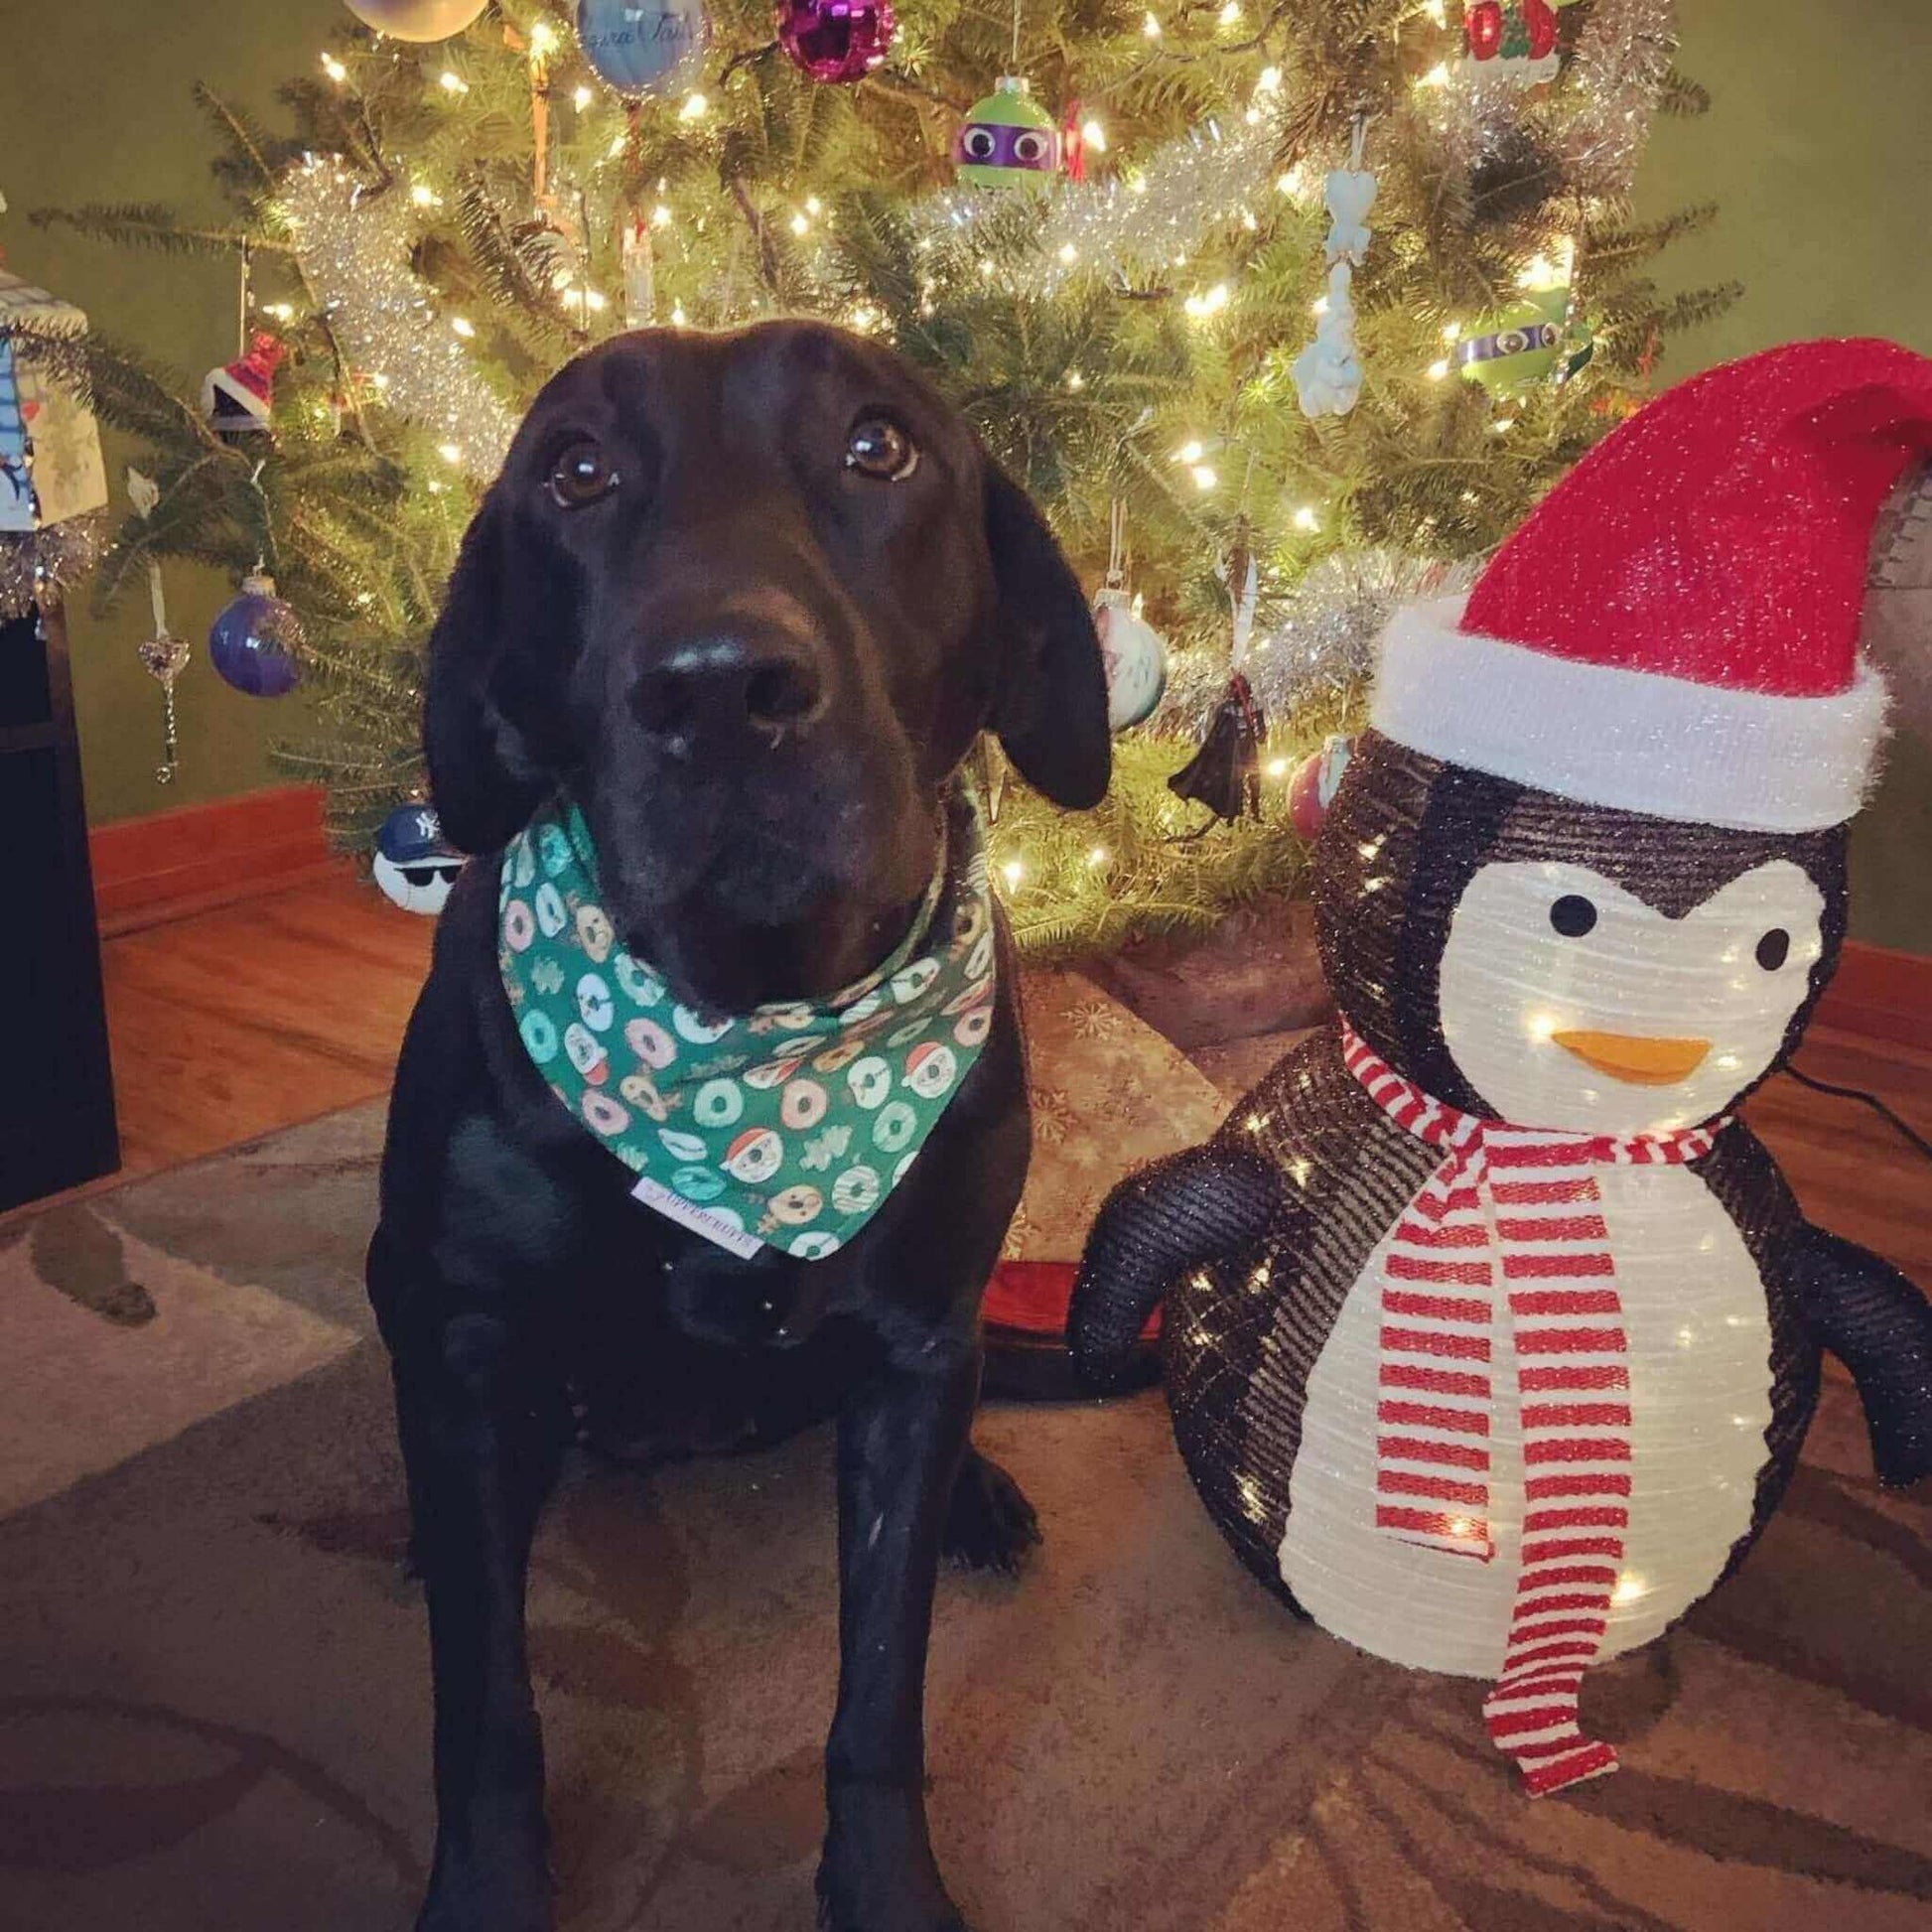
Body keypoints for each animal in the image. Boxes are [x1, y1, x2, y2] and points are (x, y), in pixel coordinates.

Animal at [368, 321, 1112, 1932]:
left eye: (878, 445)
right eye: (574, 469)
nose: (719, 689)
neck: (747, 1046)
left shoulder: (915, 1348)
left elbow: (878, 1697)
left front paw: (887, 1890)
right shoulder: (464, 1333)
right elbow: (484, 1706)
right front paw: (486, 1887)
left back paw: (980, 1493)